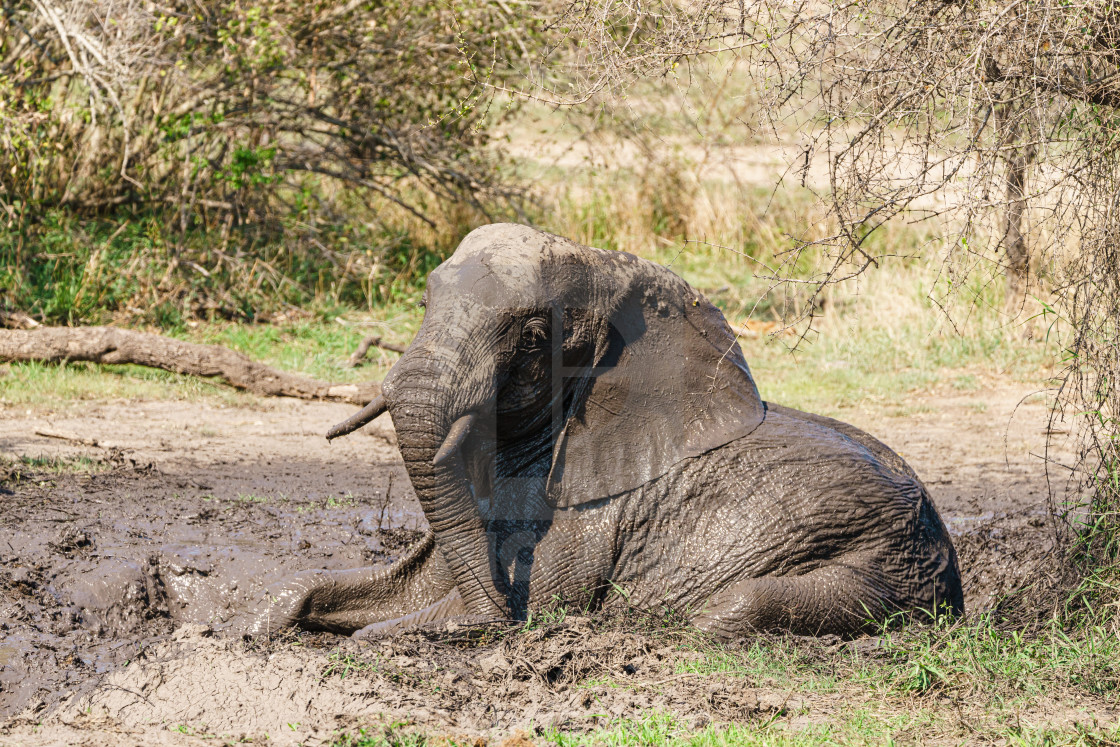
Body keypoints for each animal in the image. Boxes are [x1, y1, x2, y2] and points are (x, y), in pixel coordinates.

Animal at [247, 221, 963, 636]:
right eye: (425, 299)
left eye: (533, 338)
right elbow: (378, 583)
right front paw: (269, 623)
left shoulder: (587, 503)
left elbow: (526, 605)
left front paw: (397, 635)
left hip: (882, 564)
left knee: (730, 612)